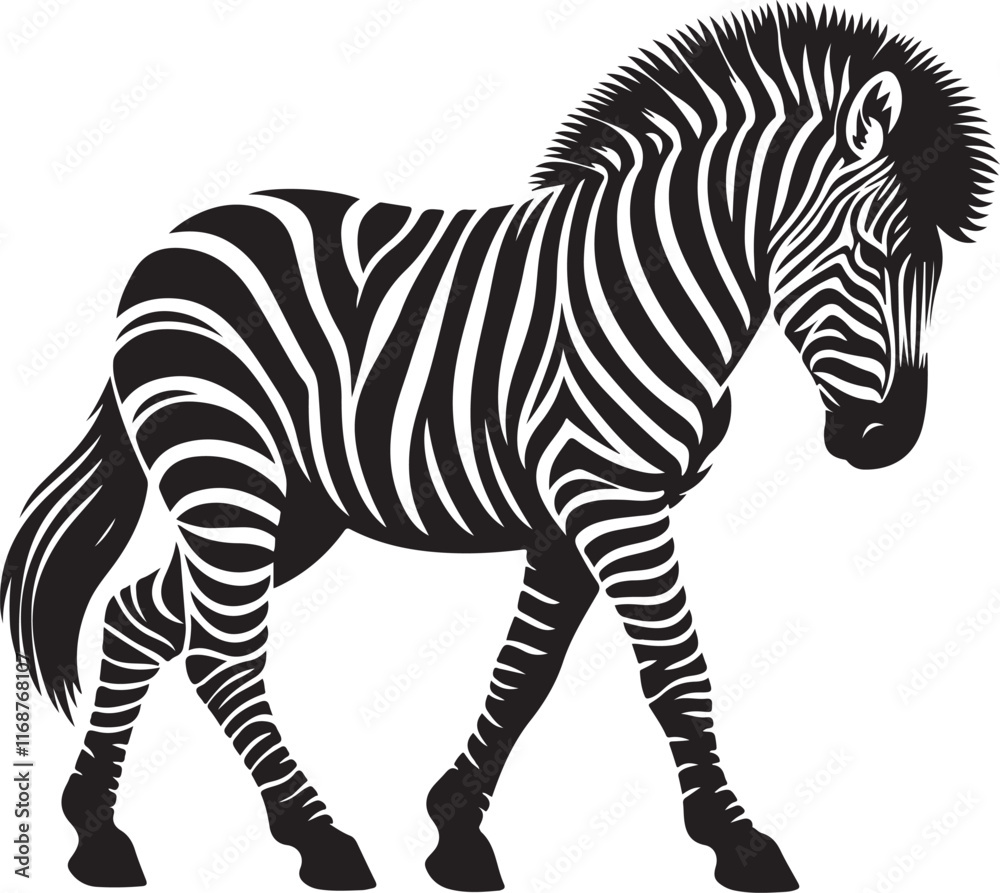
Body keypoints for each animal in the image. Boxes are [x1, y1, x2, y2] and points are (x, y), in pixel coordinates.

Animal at [2, 6, 992, 892]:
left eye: (935, 268)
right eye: (871, 252)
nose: (890, 439)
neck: (656, 285)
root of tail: (170, 244)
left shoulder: (574, 511)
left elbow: (527, 672)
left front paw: (456, 833)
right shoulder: (612, 498)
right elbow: (676, 666)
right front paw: (737, 842)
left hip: (292, 502)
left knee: (141, 614)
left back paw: (97, 833)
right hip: (227, 470)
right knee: (223, 652)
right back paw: (319, 840)